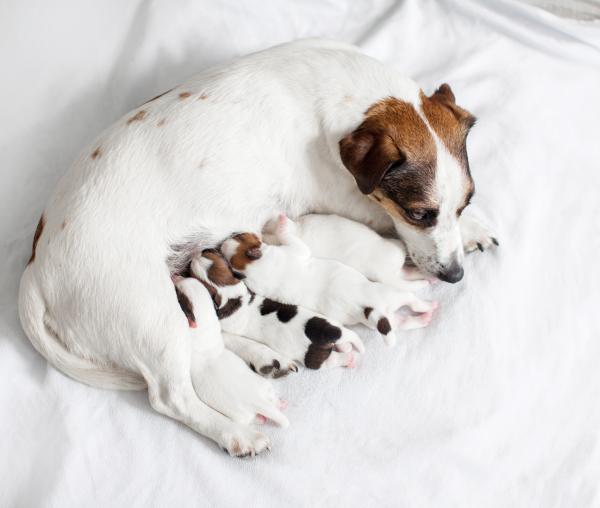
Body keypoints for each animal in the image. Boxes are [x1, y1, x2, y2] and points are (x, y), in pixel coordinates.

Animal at [190, 251, 364, 374]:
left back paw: (349, 358)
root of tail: (327, 334)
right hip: (329, 324)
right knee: (344, 341)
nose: (196, 253)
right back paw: (347, 350)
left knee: (331, 360)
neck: (232, 295)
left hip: (314, 357)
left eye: (191, 272)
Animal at [220, 216, 436, 348]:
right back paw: (428, 300)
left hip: (388, 315)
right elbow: (290, 238)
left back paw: (425, 313)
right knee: (410, 295)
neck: (256, 269)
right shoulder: (294, 250)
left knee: (405, 318)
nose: (230, 234)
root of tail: (370, 308)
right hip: (391, 293)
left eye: (238, 236)